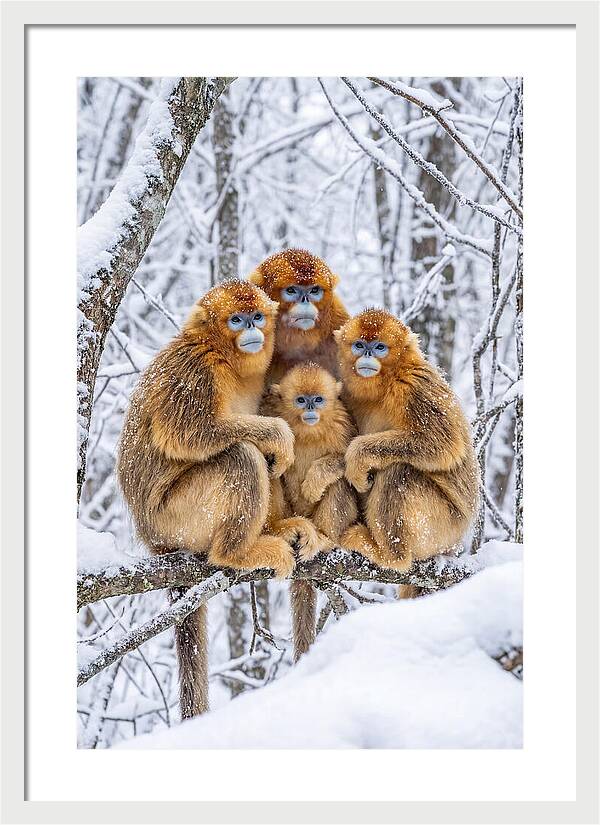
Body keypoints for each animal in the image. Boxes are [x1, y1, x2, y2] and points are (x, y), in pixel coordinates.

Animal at [117, 279, 298, 719]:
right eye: (236, 319)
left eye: (257, 316)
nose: (251, 328)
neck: (226, 359)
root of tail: (153, 539)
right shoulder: (195, 370)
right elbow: (190, 434)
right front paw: (278, 433)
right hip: (177, 518)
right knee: (242, 456)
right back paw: (236, 552)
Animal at [265, 363, 359, 661]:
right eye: (300, 400)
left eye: (317, 399)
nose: (309, 408)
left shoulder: (343, 423)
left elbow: (350, 462)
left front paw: (315, 481)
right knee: (269, 468)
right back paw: (280, 529)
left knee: (340, 483)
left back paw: (325, 539)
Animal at [334, 309, 479, 594]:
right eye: (359, 345)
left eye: (379, 347)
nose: (367, 354)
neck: (386, 383)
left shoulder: (414, 385)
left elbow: (443, 444)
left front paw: (357, 456)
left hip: (442, 527)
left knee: (399, 472)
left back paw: (390, 555)